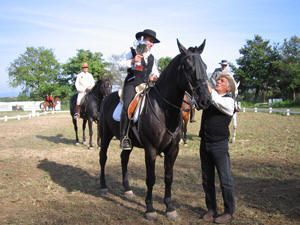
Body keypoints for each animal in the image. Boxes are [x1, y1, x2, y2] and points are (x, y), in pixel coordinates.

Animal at [98, 39, 211, 220]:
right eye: (188, 67)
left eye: (205, 66)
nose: (206, 100)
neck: (163, 109)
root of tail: (106, 98)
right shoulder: (150, 149)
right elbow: (151, 178)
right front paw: (150, 209)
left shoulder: (173, 150)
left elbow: (168, 177)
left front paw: (169, 208)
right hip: (105, 135)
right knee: (103, 158)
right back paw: (103, 187)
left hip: (128, 142)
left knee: (124, 158)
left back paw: (127, 189)